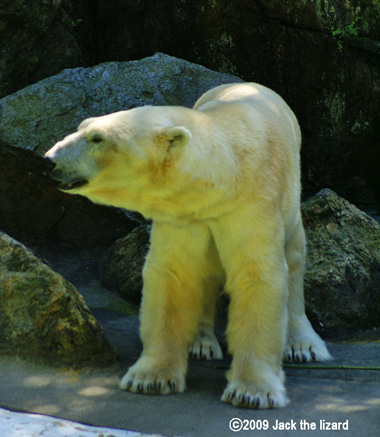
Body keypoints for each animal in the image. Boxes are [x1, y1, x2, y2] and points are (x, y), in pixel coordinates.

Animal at [43, 82, 330, 408]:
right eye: (82, 127)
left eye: (97, 138)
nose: (49, 160)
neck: (225, 174)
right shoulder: (183, 215)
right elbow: (175, 273)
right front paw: (151, 378)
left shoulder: (253, 203)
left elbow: (257, 275)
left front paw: (252, 392)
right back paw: (200, 343)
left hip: (291, 203)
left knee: (293, 259)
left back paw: (303, 345)